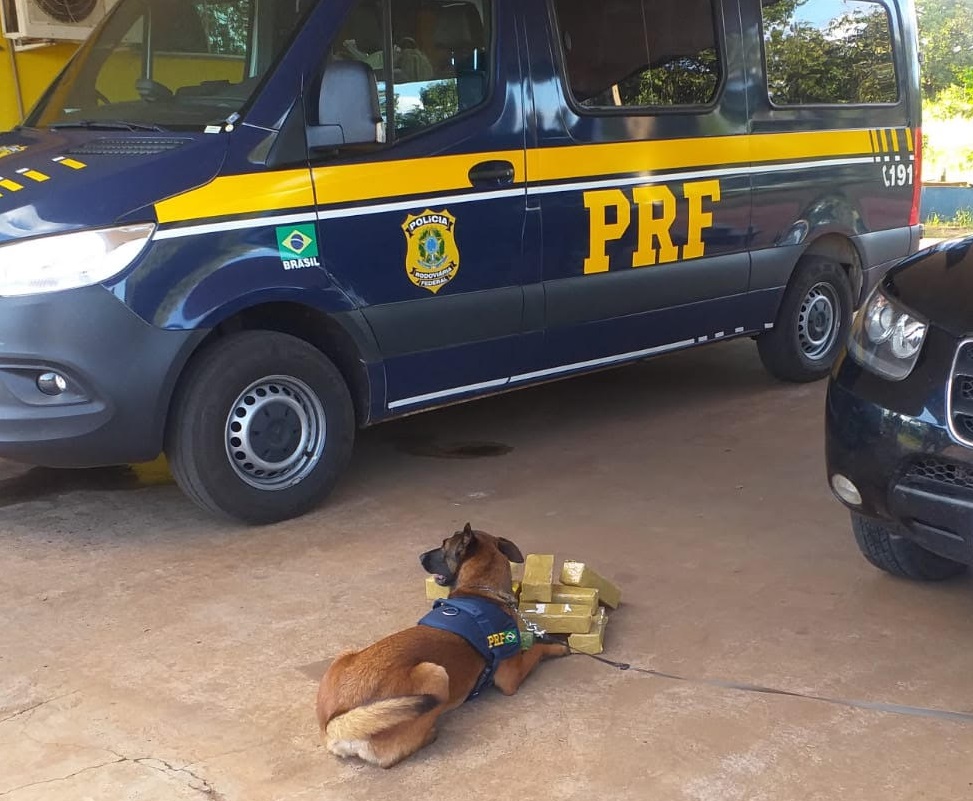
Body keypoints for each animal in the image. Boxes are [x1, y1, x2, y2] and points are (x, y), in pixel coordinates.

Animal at [316, 523, 568, 767]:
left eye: (443, 546)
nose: (419, 556)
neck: (480, 590)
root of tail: (335, 724)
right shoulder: (511, 677)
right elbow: (536, 649)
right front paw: (556, 645)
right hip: (435, 673)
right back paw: (430, 732)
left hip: (346, 652)